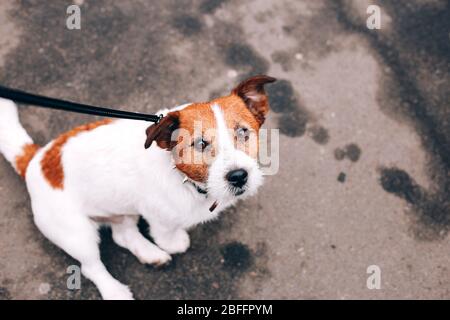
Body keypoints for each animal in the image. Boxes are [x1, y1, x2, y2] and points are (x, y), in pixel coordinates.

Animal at [0, 75, 274, 300]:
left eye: (243, 132)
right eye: (200, 143)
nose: (238, 177)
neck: (180, 175)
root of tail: (35, 159)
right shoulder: (158, 216)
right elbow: (166, 233)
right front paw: (173, 243)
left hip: (120, 209)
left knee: (123, 235)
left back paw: (150, 254)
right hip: (76, 234)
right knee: (91, 267)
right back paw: (115, 291)